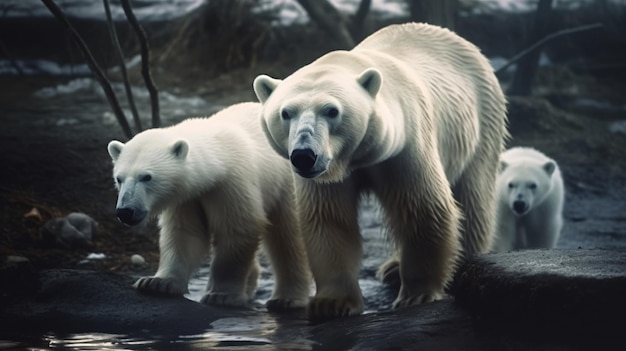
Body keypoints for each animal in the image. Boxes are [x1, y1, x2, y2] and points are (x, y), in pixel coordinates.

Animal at [109, 103, 312, 312]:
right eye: (119, 178)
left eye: (147, 177)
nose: (125, 212)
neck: (218, 157)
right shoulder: (187, 198)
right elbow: (184, 232)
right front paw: (157, 283)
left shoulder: (232, 182)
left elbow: (238, 229)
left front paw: (220, 295)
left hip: (287, 184)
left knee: (288, 236)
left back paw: (286, 299)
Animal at [252, 23, 508, 320]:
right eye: (285, 113)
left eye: (331, 111)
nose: (304, 155)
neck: (356, 157)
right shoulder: (324, 176)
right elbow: (329, 220)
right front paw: (331, 302)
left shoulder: (405, 145)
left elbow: (423, 208)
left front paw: (417, 295)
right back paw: (393, 268)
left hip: (483, 119)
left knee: (473, 195)